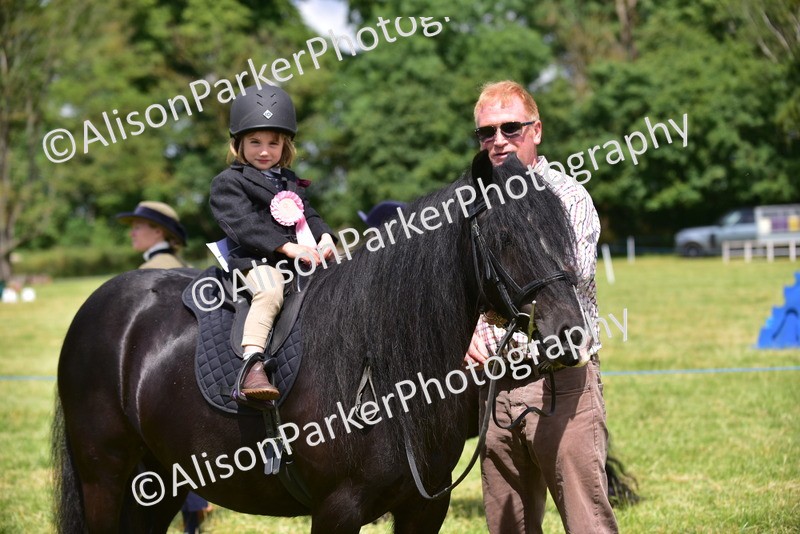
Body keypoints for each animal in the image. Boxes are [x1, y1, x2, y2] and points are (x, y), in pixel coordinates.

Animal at [52, 151, 589, 533]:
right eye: (503, 236)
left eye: (563, 230)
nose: (570, 334)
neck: (380, 368)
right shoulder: (337, 509)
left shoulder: (422, 509)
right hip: (105, 477)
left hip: (157, 483)